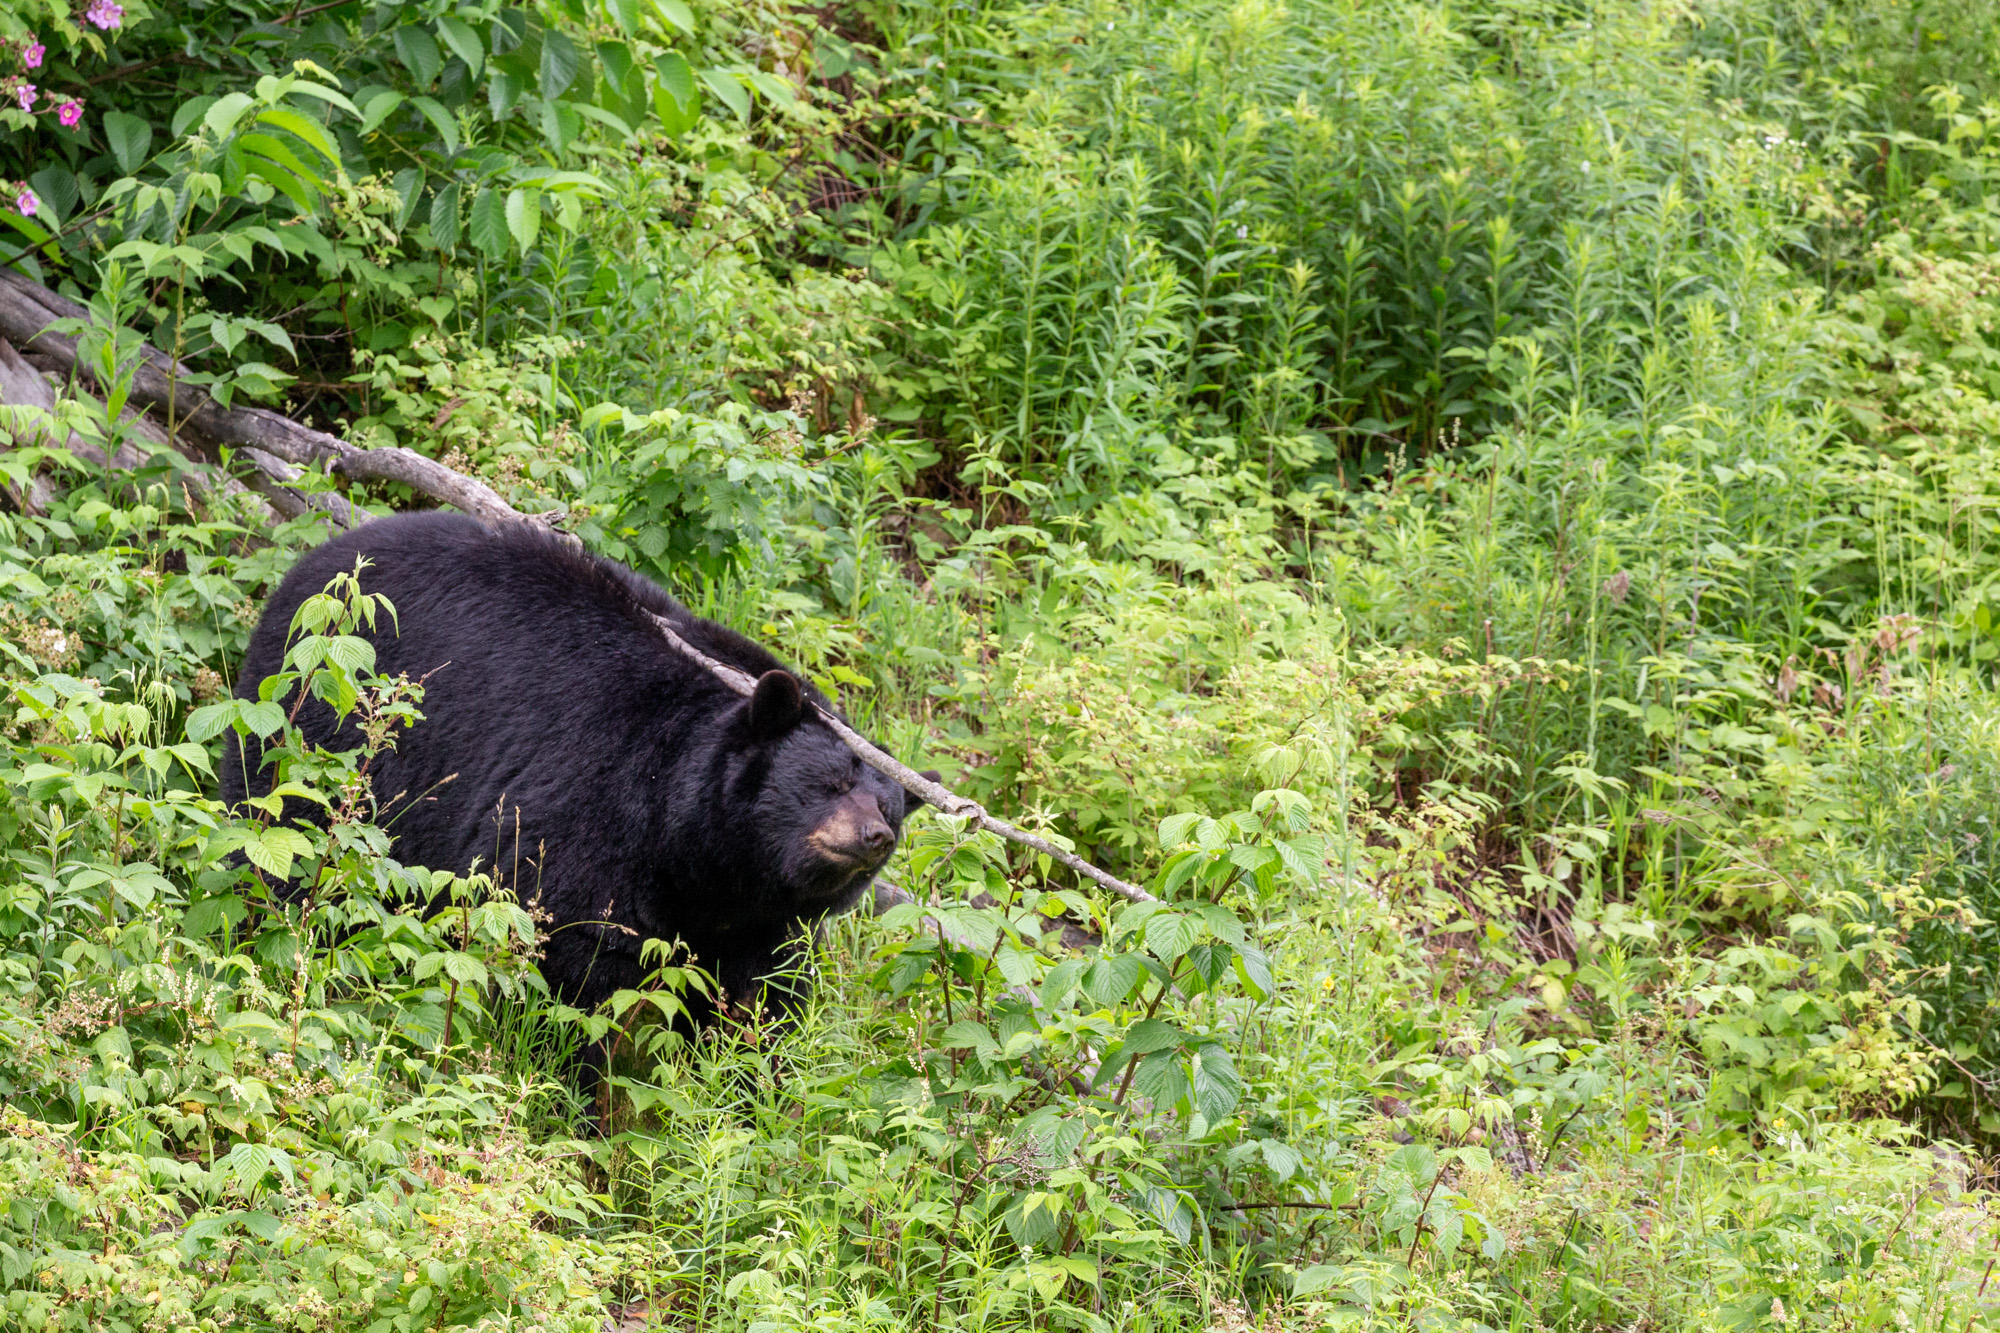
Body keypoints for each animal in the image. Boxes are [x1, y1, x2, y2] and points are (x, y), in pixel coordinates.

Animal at [220, 510, 927, 1049]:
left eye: (891, 813)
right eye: (831, 782)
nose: (872, 837)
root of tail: (318, 561)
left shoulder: (760, 916)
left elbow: (764, 993)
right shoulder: (590, 795)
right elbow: (578, 962)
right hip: (313, 729)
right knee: (282, 835)